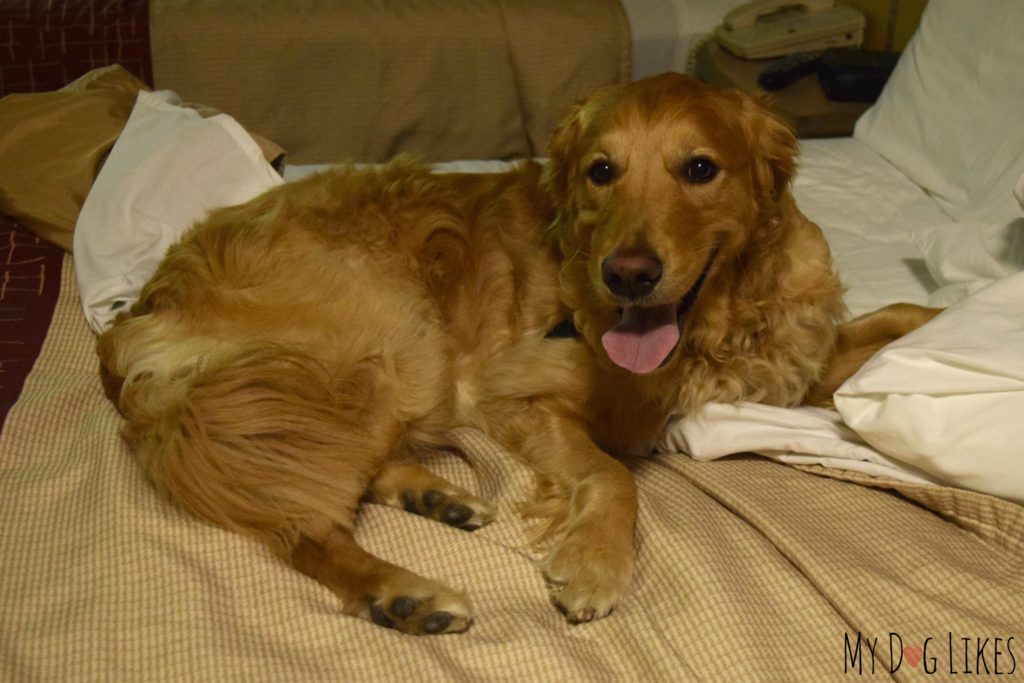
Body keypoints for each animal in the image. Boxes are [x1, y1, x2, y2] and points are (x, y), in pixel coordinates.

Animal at [96, 73, 937, 634]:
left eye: (700, 168)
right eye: (602, 171)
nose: (627, 272)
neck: (717, 319)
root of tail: (132, 315)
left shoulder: (790, 363)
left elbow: (892, 317)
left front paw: (938, 316)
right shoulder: (517, 391)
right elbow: (612, 474)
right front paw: (595, 561)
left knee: (344, 468)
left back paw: (437, 495)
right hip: (389, 339)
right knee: (302, 520)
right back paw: (402, 592)